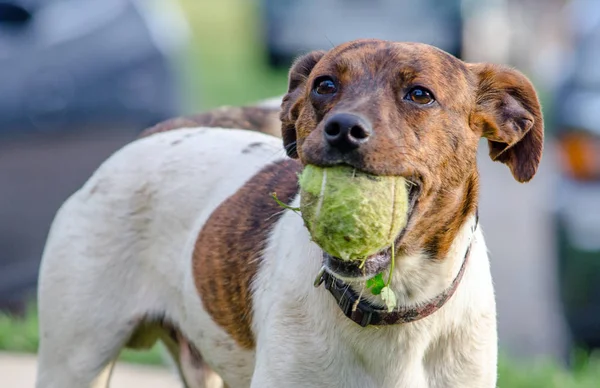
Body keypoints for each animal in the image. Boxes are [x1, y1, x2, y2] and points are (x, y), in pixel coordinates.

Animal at [36, 40, 544, 388]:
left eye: (420, 94)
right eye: (325, 84)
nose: (342, 128)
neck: (392, 305)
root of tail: (148, 137)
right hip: (74, 358)